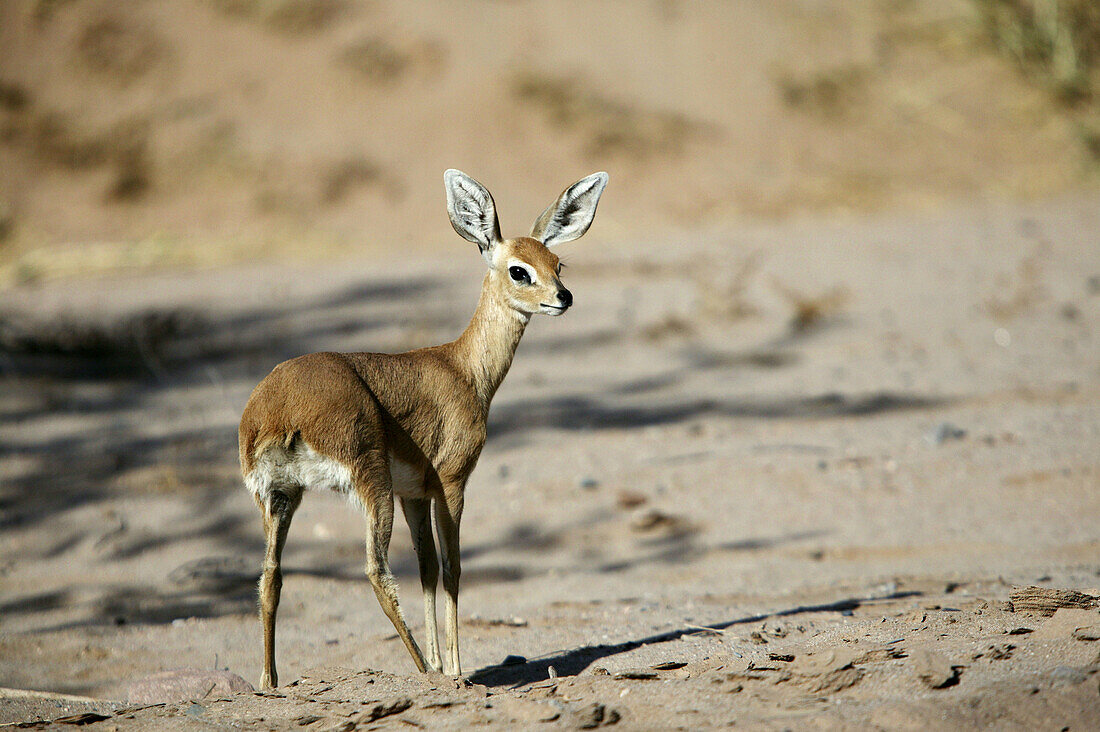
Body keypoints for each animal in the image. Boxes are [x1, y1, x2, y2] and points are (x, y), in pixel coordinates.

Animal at [237, 167, 611, 686]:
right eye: (519, 269)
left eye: (558, 263)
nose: (563, 298)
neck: (463, 369)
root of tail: (277, 408)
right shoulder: (450, 484)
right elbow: (452, 568)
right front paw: (453, 670)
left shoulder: (413, 493)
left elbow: (427, 569)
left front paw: (441, 660)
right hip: (367, 483)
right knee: (375, 569)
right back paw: (421, 669)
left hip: (281, 497)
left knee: (270, 575)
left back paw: (269, 683)